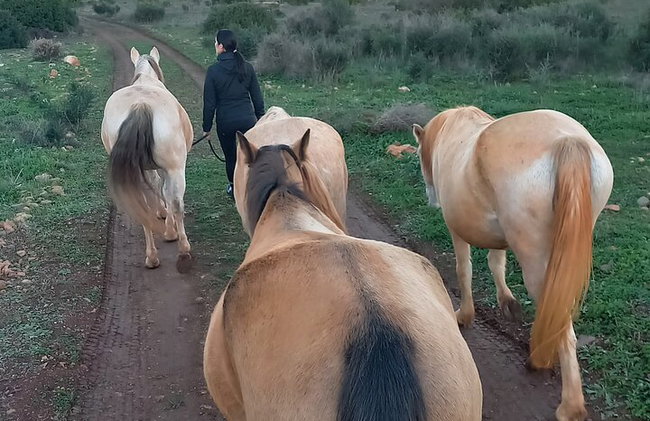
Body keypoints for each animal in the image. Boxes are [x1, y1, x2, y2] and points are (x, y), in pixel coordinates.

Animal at [100, 47, 193, 272]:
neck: (146, 79)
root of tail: (140, 105)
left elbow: (156, 188)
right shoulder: (165, 168)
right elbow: (165, 192)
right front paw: (169, 229)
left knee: (142, 208)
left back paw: (151, 257)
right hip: (176, 168)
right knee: (176, 202)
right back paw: (183, 249)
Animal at [412, 106, 613, 421]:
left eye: (420, 153)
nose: (430, 197)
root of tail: (567, 141)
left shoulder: (456, 230)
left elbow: (464, 269)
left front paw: (464, 315)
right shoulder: (502, 239)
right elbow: (496, 263)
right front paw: (507, 302)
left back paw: (568, 403)